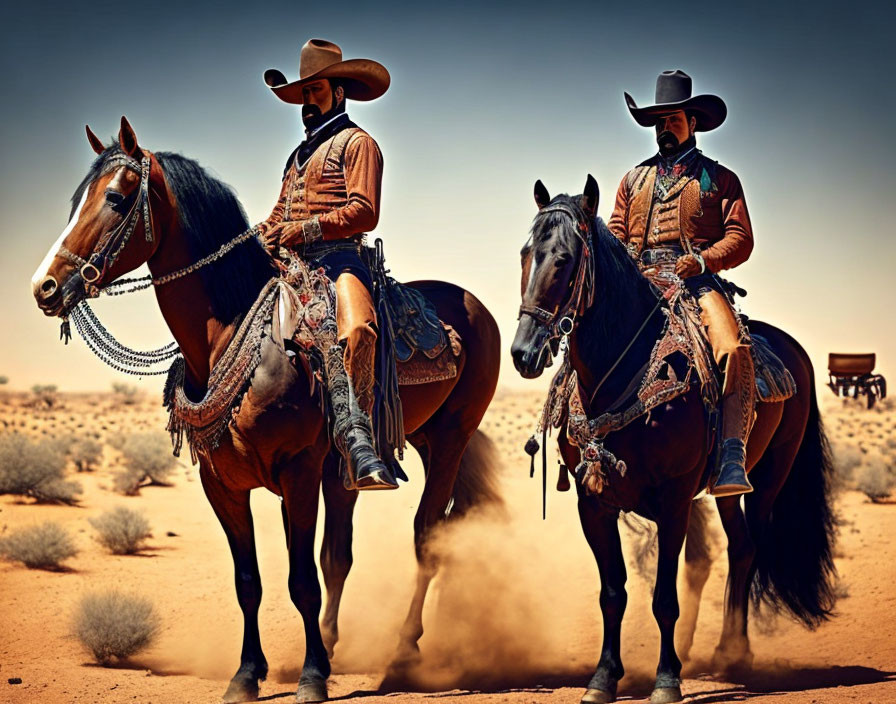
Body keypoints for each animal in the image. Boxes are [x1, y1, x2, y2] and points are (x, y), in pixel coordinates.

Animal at [29, 118, 504, 700]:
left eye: (116, 198)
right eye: (76, 199)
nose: (45, 287)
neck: (234, 336)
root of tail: (473, 307)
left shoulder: (297, 472)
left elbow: (300, 580)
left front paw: (311, 675)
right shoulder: (223, 484)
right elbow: (249, 581)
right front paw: (248, 674)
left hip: (451, 437)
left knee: (426, 535)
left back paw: (404, 651)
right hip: (376, 457)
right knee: (341, 553)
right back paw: (337, 643)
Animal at [512, 176, 840, 704]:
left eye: (563, 259)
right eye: (526, 254)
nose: (523, 352)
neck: (621, 370)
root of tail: (795, 352)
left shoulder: (673, 497)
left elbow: (665, 597)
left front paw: (667, 679)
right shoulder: (592, 500)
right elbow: (613, 593)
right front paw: (604, 678)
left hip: (770, 477)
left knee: (754, 544)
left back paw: (736, 653)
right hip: (726, 491)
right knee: (741, 546)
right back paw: (723, 653)